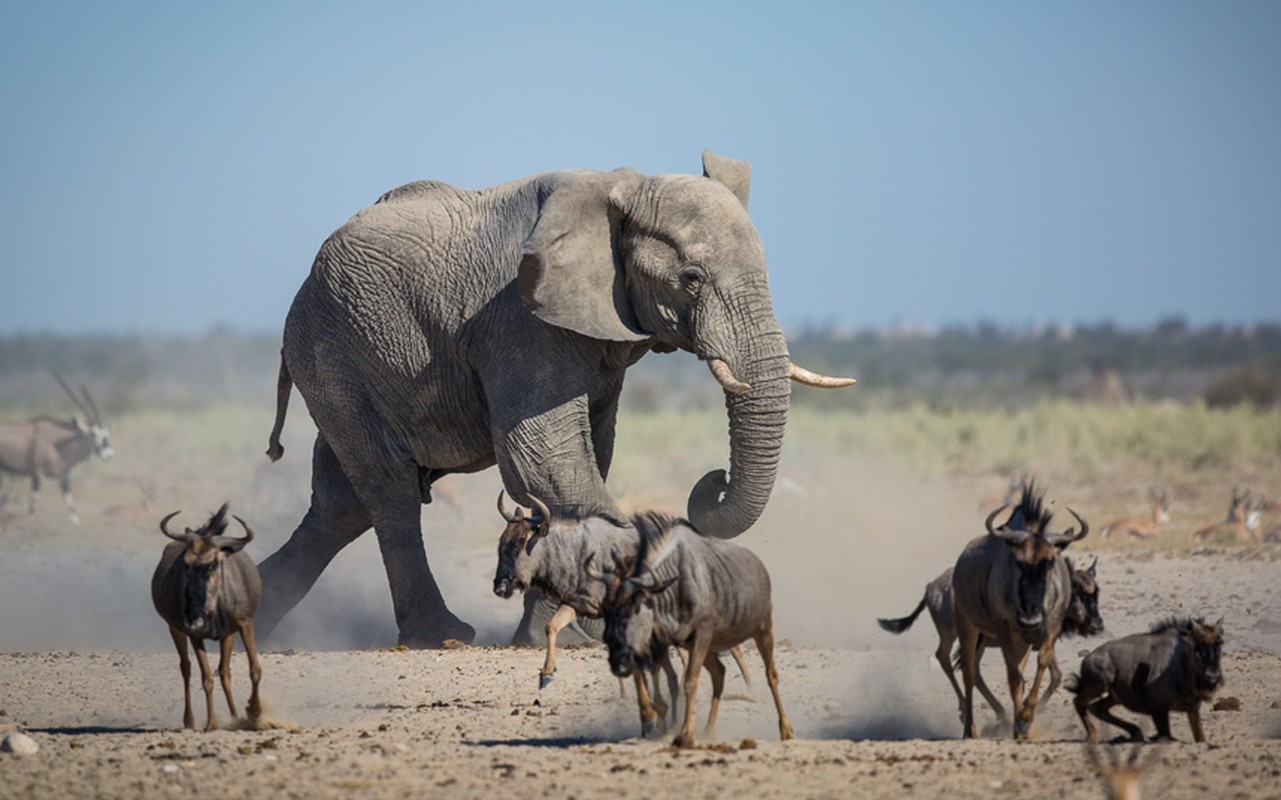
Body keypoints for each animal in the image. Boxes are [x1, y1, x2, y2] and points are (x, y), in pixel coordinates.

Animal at [151, 501, 263, 732]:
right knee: (186, 667)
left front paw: (253, 712)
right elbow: (206, 678)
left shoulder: (244, 624)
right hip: (174, 629)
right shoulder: (195, 636)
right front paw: (211, 724)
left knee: (224, 671)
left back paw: (235, 716)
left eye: (212, 564)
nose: (193, 620)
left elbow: (254, 669)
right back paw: (189, 720)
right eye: (185, 564)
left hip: (227, 635)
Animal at [254, 151, 855, 650]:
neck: (625, 188)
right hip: (332, 352)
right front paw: (595, 623)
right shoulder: (518, 320)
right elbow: (547, 458)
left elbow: (588, 457)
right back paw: (441, 637)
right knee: (389, 488)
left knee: (341, 504)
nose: (714, 479)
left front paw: (554, 633)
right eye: (691, 278)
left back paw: (248, 620)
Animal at [1065, 616, 1224, 742]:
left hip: (1115, 696)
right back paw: (1094, 736)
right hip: (1099, 685)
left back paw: (1135, 733)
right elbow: (1167, 737)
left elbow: (1201, 739)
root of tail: (1087, 659)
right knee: (1079, 702)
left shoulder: (1192, 709)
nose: (1213, 676)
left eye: (1220, 642)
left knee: (1097, 708)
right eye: (1197, 643)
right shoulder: (1157, 708)